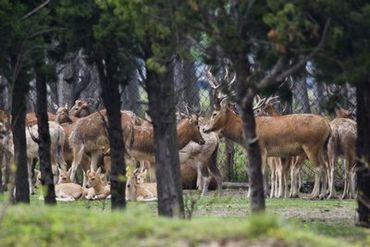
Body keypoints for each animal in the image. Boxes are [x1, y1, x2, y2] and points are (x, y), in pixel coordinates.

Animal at [204, 67, 330, 199]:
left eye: (214, 114)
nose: (204, 128)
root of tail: (327, 124)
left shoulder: (261, 148)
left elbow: (260, 172)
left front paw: (257, 194)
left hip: (311, 146)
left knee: (318, 168)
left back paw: (314, 195)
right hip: (321, 148)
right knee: (324, 166)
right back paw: (322, 194)